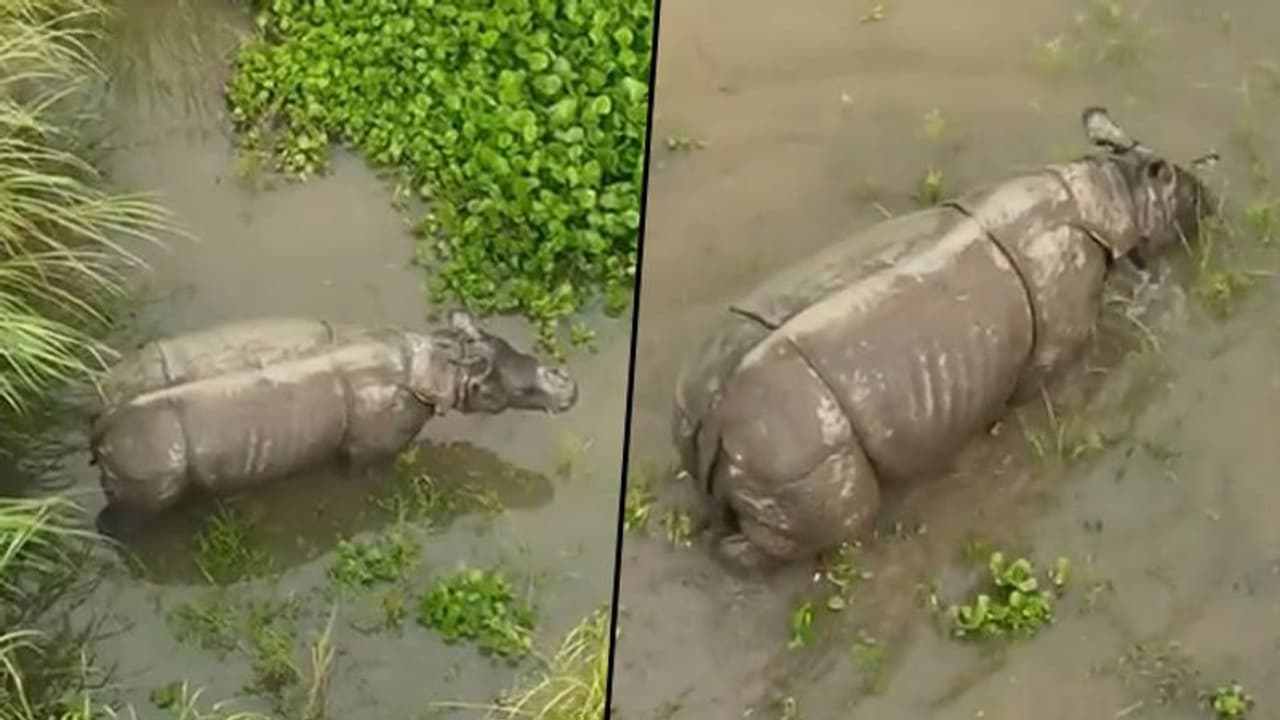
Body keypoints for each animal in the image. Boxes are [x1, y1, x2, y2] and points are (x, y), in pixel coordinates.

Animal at [89, 310, 577, 513]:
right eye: (500, 392)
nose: (569, 386)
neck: (440, 361)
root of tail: (100, 425)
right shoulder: (369, 451)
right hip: (152, 464)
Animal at [672, 107, 1219, 574]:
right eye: (1188, 197)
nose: (1214, 201)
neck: (1112, 190)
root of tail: (719, 413)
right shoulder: (1056, 346)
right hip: (797, 449)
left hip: (710, 407)